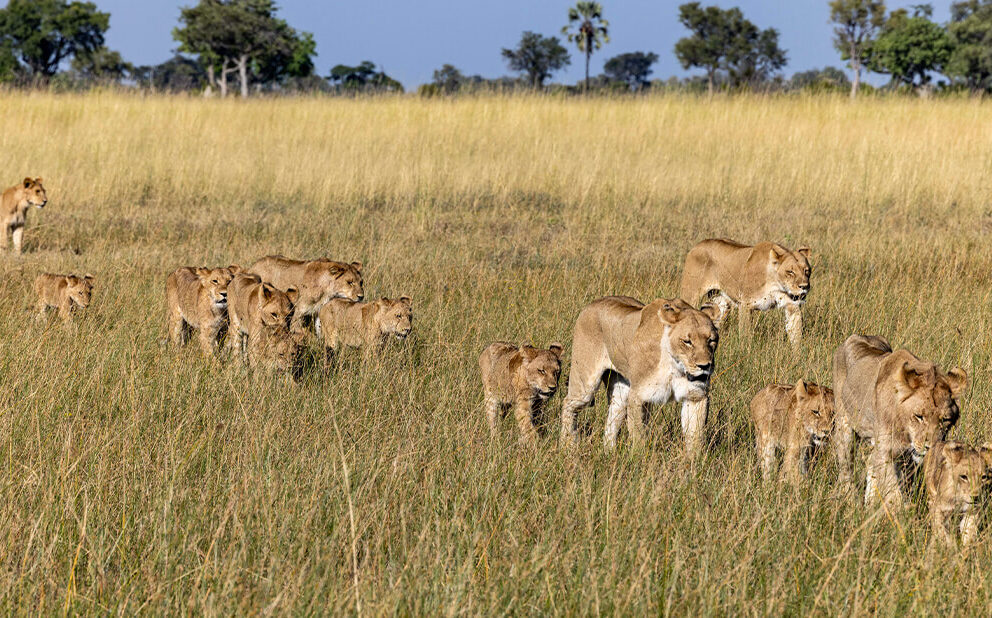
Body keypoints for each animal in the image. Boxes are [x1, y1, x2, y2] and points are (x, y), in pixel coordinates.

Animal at [560, 296, 720, 455]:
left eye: (711, 340)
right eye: (687, 341)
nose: (704, 366)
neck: (676, 367)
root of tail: (593, 303)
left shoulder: (696, 396)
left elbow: (695, 436)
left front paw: (693, 461)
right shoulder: (638, 397)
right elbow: (639, 436)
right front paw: (638, 459)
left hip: (621, 392)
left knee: (612, 418)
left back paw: (609, 453)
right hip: (585, 385)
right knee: (568, 403)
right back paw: (568, 445)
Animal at [680, 239, 811, 348]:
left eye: (807, 270)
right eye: (790, 272)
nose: (804, 287)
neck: (777, 285)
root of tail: (698, 244)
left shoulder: (792, 305)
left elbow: (796, 333)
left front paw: (797, 357)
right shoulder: (746, 305)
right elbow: (745, 334)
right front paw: (746, 351)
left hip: (721, 303)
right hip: (691, 295)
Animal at [833, 334, 967, 509]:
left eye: (945, 419)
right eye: (919, 416)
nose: (929, 447)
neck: (905, 431)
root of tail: (859, 335)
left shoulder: (904, 458)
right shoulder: (885, 450)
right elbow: (893, 492)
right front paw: (901, 513)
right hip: (844, 425)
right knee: (846, 467)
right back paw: (851, 501)